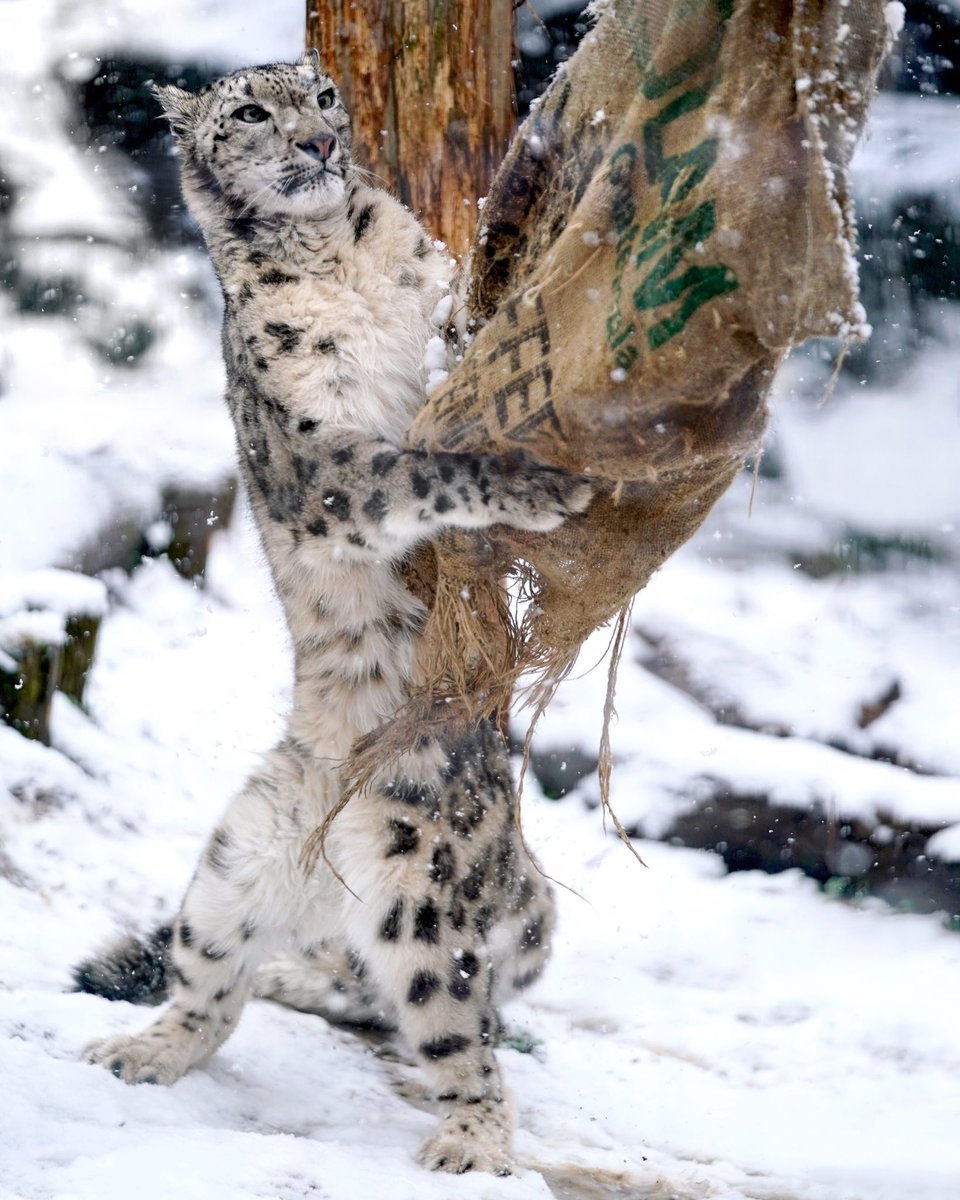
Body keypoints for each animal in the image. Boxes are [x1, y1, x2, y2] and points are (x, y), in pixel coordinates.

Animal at [77, 52, 591, 1175]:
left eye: (319, 97)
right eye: (248, 112)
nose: (316, 143)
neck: (334, 261)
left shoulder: (429, 294)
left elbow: (454, 323)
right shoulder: (320, 458)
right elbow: (413, 469)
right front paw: (529, 485)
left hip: (423, 890)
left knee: (454, 1026)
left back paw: (464, 1135)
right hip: (237, 867)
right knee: (231, 993)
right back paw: (144, 1050)